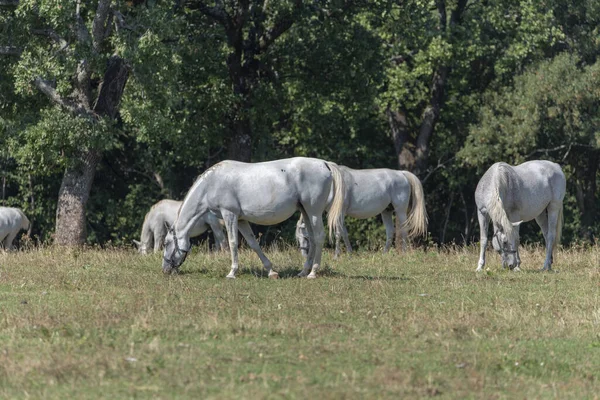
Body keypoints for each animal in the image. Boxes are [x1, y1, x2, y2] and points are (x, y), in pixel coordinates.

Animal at [162, 156, 344, 278]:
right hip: (305, 212)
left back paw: (313, 272)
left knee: (319, 237)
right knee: (312, 239)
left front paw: (232, 272)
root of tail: (324, 164)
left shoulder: (230, 215)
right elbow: (253, 244)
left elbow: (232, 243)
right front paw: (271, 271)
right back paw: (303, 271)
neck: (211, 184)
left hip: (314, 212)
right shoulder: (241, 220)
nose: (165, 269)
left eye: (166, 243)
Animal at [294, 166, 426, 256]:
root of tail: (402, 173)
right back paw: (384, 254)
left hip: (400, 210)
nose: (304, 255)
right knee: (390, 232)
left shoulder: (340, 213)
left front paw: (336, 255)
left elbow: (338, 233)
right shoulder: (341, 215)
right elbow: (344, 233)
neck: (333, 185)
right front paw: (350, 253)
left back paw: (403, 253)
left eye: (304, 236)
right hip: (386, 211)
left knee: (403, 230)